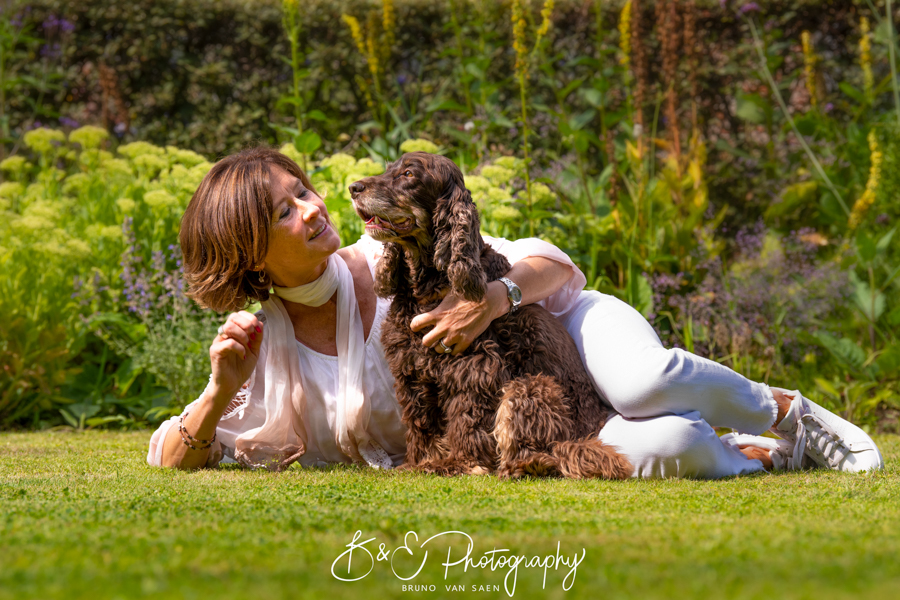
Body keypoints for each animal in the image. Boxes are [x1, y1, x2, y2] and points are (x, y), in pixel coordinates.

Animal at [348, 152, 628, 480]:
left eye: (408, 174)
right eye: (389, 168)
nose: (353, 187)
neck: (431, 285)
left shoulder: (473, 368)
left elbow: (466, 420)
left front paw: (461, 463)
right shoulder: (412, 370)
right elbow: (421, 424)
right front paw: (419, 462)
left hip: (531, 387)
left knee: (547, 455)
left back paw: (517, 466)